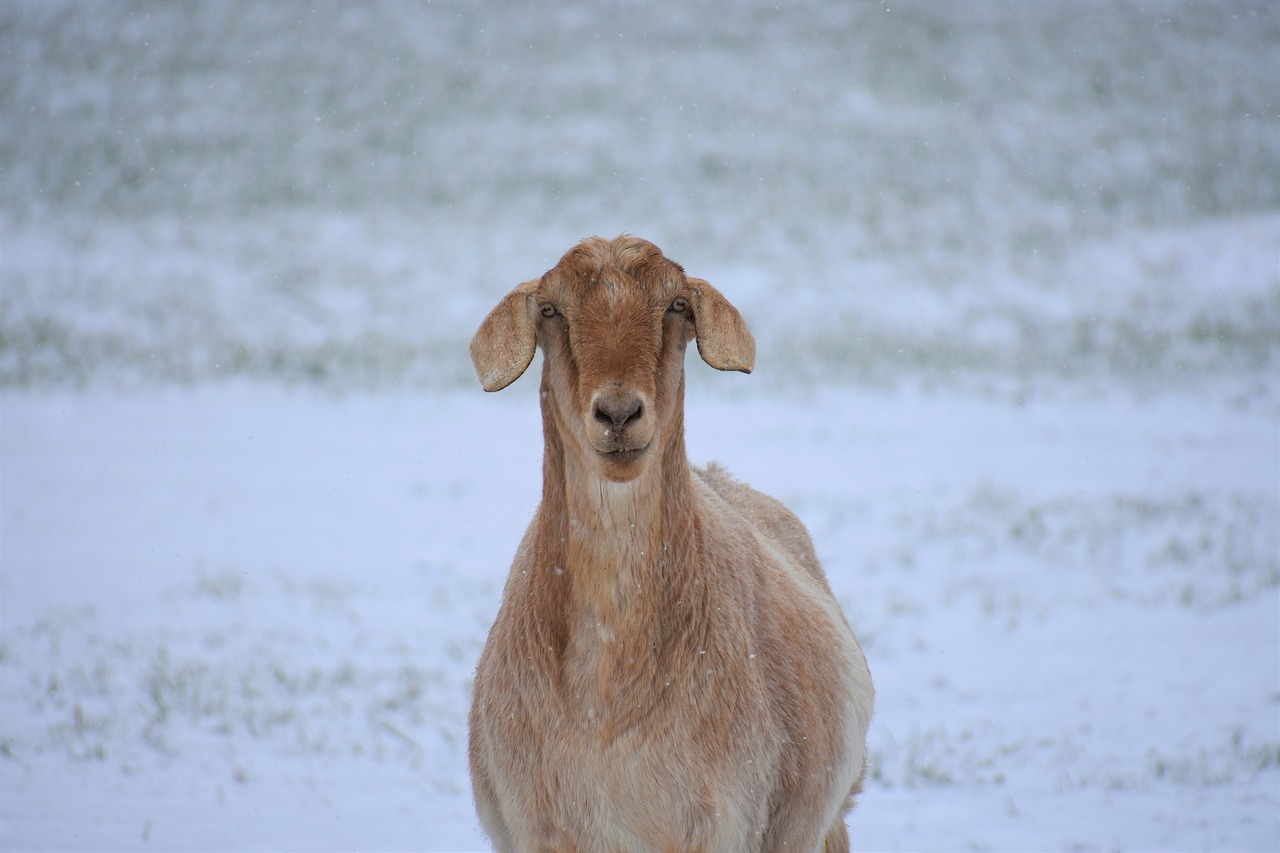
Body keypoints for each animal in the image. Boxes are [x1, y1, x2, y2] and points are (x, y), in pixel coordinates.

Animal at [465, 234, 875, 850]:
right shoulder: (538, 826)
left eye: (677, 305)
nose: (618, 413)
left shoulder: (720, 822)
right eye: (551, 310)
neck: (607, 703)